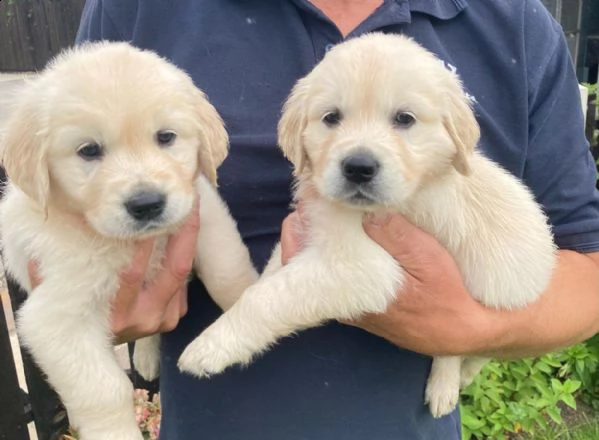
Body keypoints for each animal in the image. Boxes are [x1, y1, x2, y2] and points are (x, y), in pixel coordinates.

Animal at [0, 42, 258, 440]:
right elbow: (103, 390)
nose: (147, 204)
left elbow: (227, 272)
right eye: (89, 150)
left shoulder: (204, 211)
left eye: (165, 137)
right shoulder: (56, 318)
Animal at [178, 33, 556, 416]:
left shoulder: (364, 266)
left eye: (404, 118)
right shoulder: (311, 228)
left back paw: (447, 384)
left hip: (500, 295)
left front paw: (209, 347)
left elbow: (272, 295)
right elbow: (269, 278)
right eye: (331, 117)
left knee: (468, 350)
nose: (358, 167)